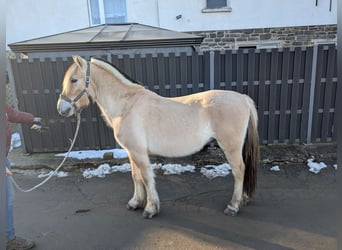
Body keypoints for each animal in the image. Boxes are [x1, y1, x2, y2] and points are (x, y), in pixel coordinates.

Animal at [56, 55, 260, 219]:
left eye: (74, 80)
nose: (61, 109)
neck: (126, 105)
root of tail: (243, 98)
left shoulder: (139, 152)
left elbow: (146, 177)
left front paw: (150, 208)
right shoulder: (131, 152)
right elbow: (135, 176)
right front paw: (135, 202)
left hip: (231, 147)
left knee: (239, 170)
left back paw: (233, 206)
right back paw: (243, 199)